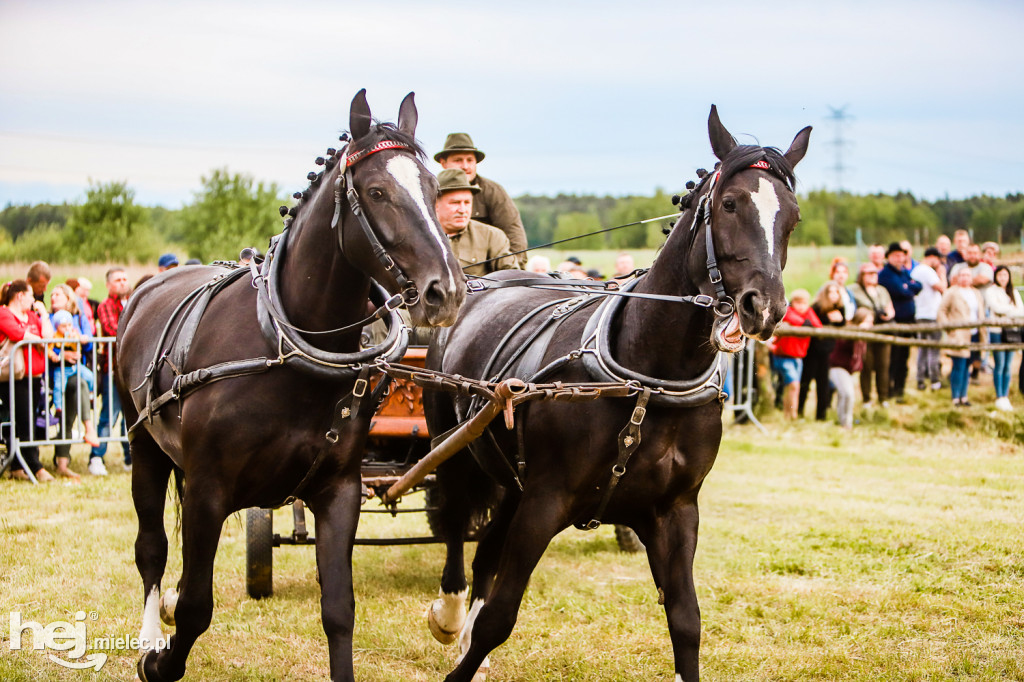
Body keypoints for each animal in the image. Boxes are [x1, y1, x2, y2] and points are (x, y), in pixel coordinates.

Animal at [115, 91, 464, 679]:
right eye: (377, 192)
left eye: (434, 189)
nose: (448, 291)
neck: (286, 347)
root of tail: (148, 286)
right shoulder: (209, 489)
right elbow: (196, 607)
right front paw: (161, 661)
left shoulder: (338, 490)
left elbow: (339, 608)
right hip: (144, 446)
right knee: (153, 548)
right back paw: (149, 634)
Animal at [421, 106, 806, 679]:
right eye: (730, 203)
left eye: (793, 216)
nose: (767, 307)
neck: (647, 380)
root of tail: (478, 286)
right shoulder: (545, 501)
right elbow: (501, 617)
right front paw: (464, 653)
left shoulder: (674, 511)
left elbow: (686, 620)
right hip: (456, 452)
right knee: (453, 528)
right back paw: (449, 618)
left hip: (512, 480)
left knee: (484, 547)